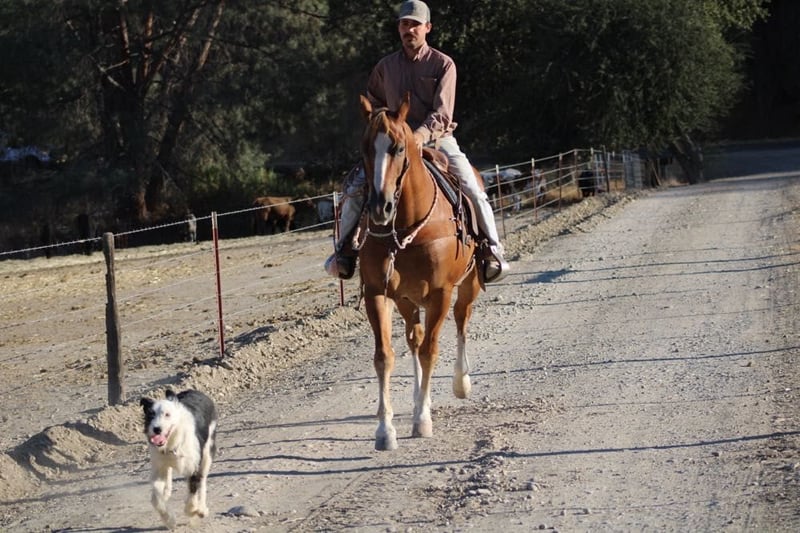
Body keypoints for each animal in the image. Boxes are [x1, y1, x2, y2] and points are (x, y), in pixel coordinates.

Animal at [140, 389, 218, 529]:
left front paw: (193, 510)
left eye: (167, 414)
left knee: (203, 479)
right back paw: (167, 492)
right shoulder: (159, 466)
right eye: (151, 415)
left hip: (207, 452)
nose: (157, 429)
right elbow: (155, 498)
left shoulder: (193, 467)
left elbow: (192, 494)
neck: (172, 443)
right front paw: (169, 520)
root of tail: (195, 391)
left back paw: (202, 508)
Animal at [356, 93, 482, 451]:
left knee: (461, 323)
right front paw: (385, 430)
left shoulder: (441, 293)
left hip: (468, 286)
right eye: (365, 148)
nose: (380, 207)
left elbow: (430, 351)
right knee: (414, 338)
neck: (405, 229)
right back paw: (416, 399)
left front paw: (423, 420)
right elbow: (385, 356)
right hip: (407, 300)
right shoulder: (377, 293)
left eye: (399, 148)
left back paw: (461, 382)